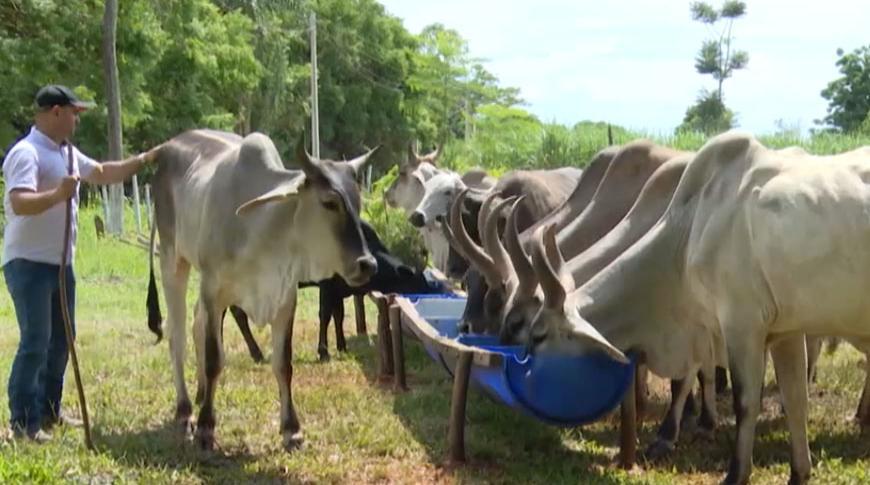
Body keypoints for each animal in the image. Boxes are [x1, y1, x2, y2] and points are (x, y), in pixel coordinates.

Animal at [146, 129, 378, 450]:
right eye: (330, 202)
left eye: (358, 202)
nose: (368, 264)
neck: (265, 234)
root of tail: (169, 146)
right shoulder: (213, 291)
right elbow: (214, 359)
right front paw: (206, 427)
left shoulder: (285, 299)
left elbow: (283, 364)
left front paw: (292, 429)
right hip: (173, 260)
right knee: (177, 335)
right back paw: (185, 411)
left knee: (195, 325)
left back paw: (201, 393)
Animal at [524, 130, 870, 484]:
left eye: (538, 335)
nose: (522, 391)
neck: (688, 232)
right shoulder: (786, 331)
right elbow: (795, 399)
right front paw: (799, 472)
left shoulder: (741, 325)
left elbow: (745, 402)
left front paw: (735, 473)